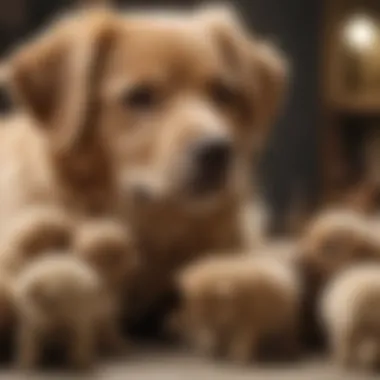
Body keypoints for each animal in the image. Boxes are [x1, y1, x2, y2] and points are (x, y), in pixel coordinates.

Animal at [171, 254, 300, 364]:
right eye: (182, 303)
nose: (170, 322)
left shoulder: (251, 322)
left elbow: (243, 339)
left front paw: (238, 361)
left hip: (286, 324)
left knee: (286, 337)